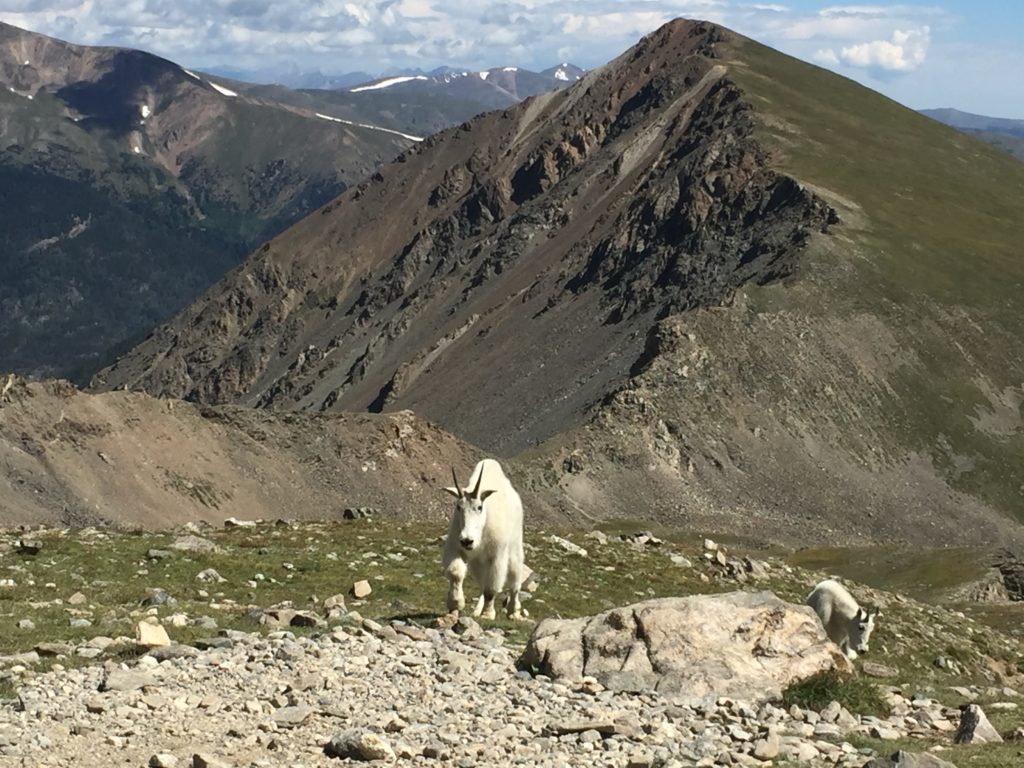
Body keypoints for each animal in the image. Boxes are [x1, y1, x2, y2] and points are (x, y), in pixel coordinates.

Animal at [440, 460, 524, 622]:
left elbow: (491, 588)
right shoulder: (455, 547)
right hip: (477, 562)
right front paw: (455, 605)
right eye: (458, 507)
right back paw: (477, 611)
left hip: (515, 546)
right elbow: (456, 573)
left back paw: (514, 611)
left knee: (515, 580)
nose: (467, 540)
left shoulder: (496, 556)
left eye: (479, 507)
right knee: (481, 584)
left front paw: (488, 614)